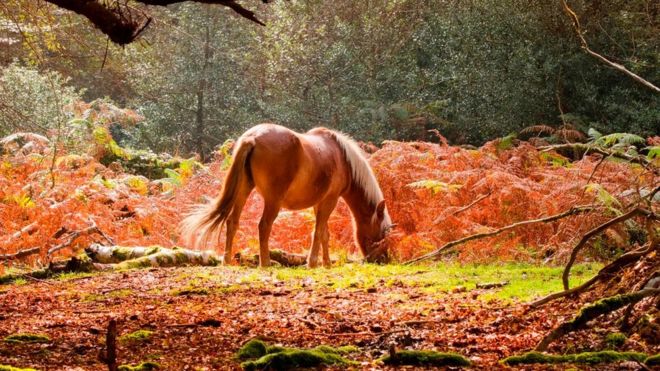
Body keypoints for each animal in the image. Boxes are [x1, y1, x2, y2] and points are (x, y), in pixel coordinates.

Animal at [180, 124, 392, 268]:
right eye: (382, 234)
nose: (383, 260)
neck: (342, 158)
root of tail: (253, 138)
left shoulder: (320, 203)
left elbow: (324, 233)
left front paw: (326, 263)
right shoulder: (329, 200)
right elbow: (318, 231)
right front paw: (313, 263)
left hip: (244, 190)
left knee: (232, 222)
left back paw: (226, 260)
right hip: (273, 201)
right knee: (264, 226)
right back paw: (265, 262)